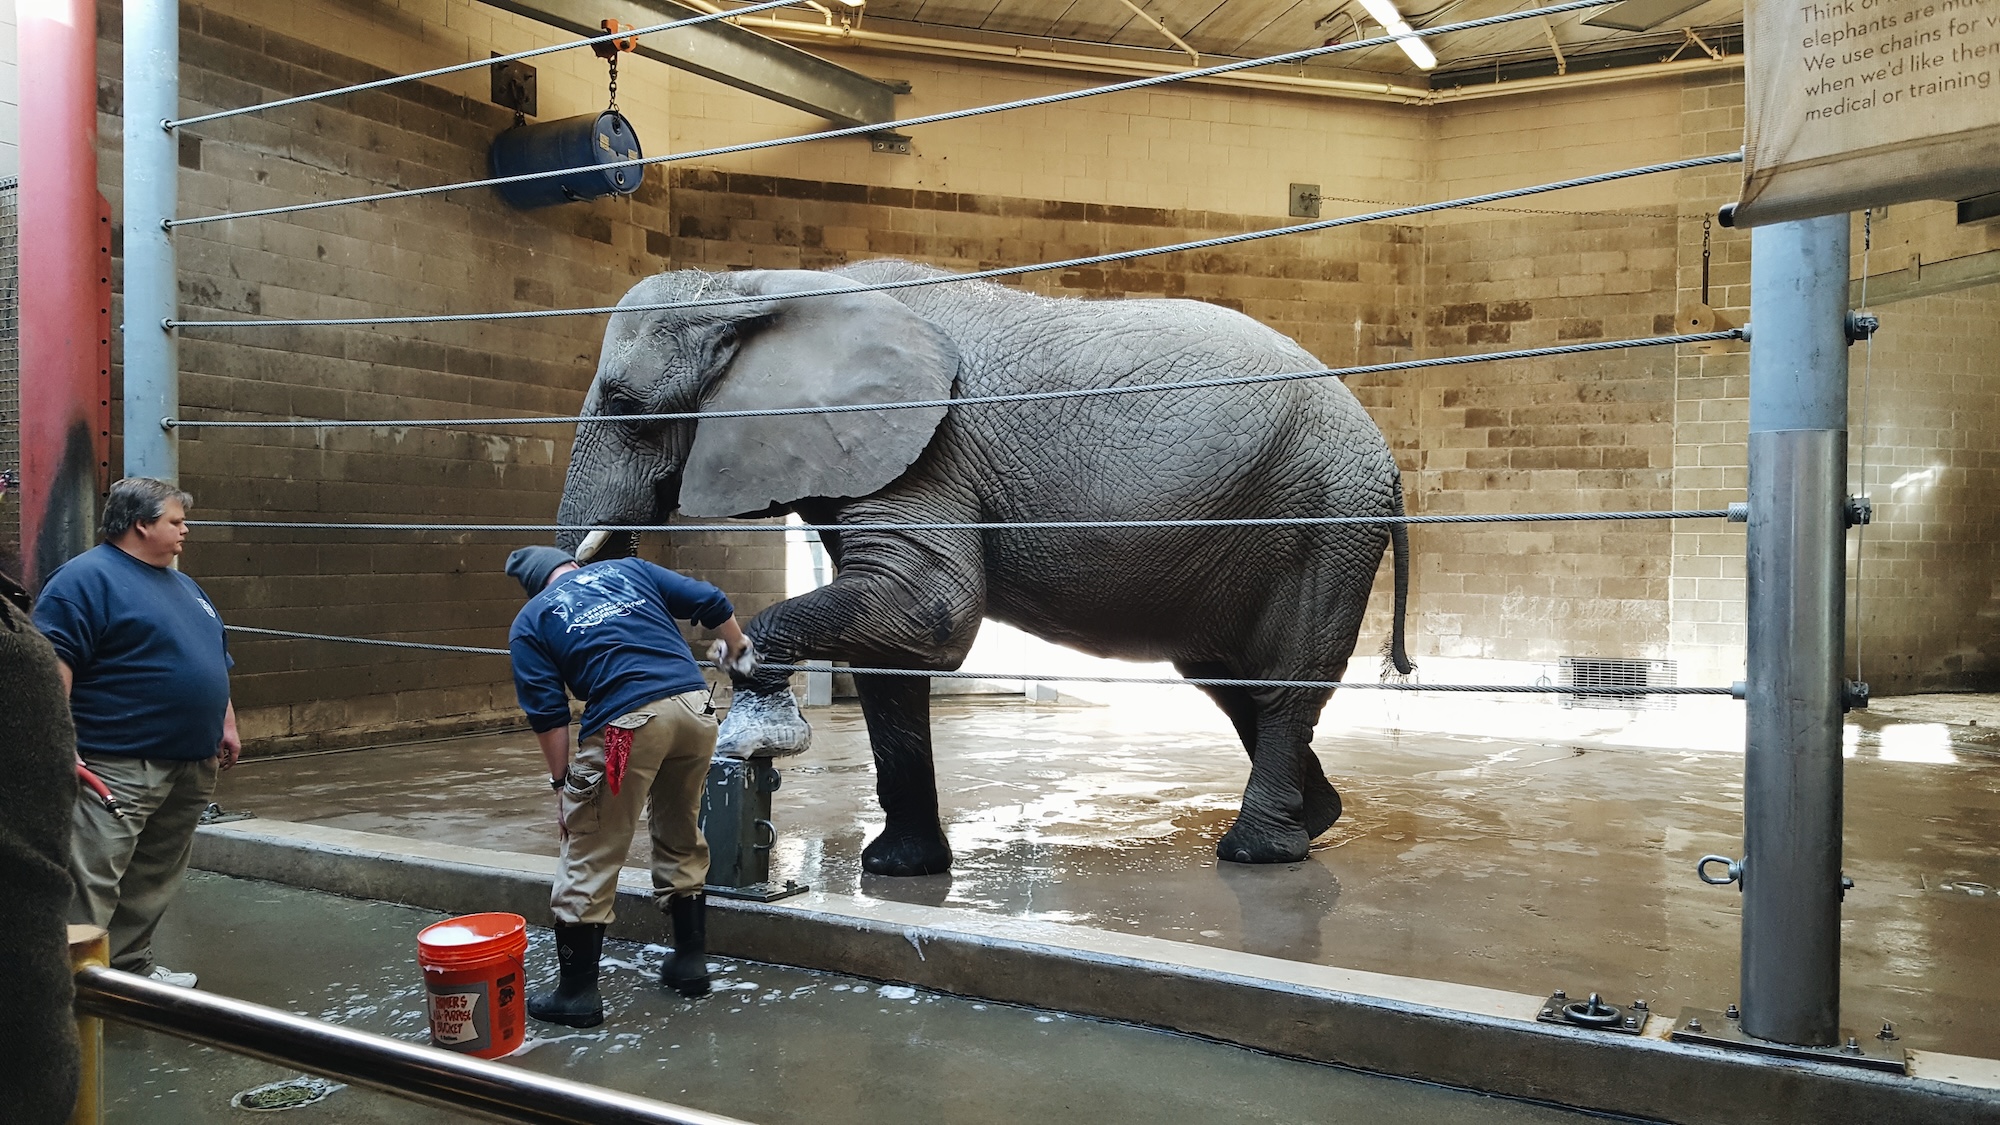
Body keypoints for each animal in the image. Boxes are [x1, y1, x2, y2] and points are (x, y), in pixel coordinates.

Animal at [556, 258, 1416, 872]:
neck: (756, 286)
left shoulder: (927, 447)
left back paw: (1257, 852)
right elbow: (892, 652)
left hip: (1326, 515)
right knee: (1226, 677)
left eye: (628, 407)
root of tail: (1385, 459)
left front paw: (754, 712)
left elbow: (931, 608)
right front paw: (897, 870)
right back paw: (1315, 820)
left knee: (1280, 678)